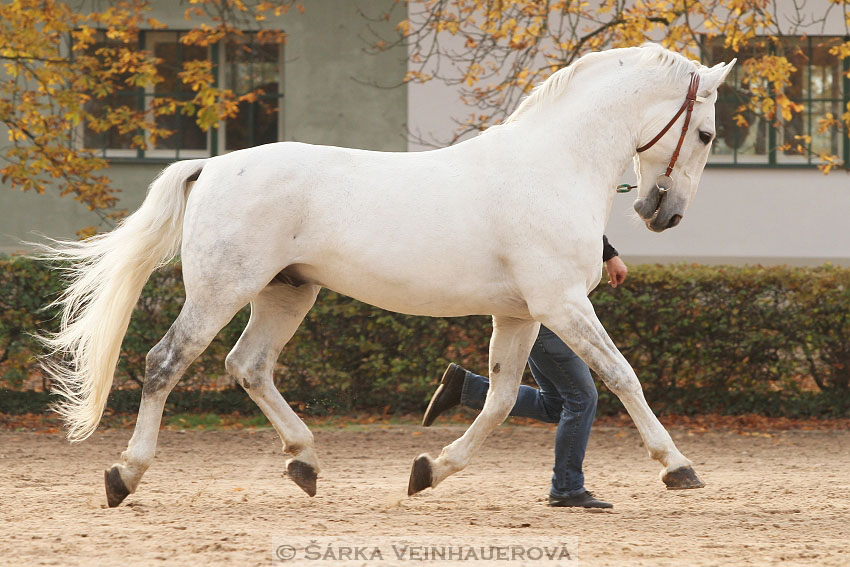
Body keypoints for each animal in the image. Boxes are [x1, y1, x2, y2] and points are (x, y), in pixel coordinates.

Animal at [38, 43, 728, 506]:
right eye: (706, 133)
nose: (663, 213)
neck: (553, 165)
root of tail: (211, 165)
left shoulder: (521, 314)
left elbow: (502, 399)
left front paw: (429, 470)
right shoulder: (562, 305)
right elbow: (622, 376)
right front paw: (677, 466)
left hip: (287, 293)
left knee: (249, 366)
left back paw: (305, 462)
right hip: (221, 291)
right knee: (165, 362)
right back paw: (125, 475)